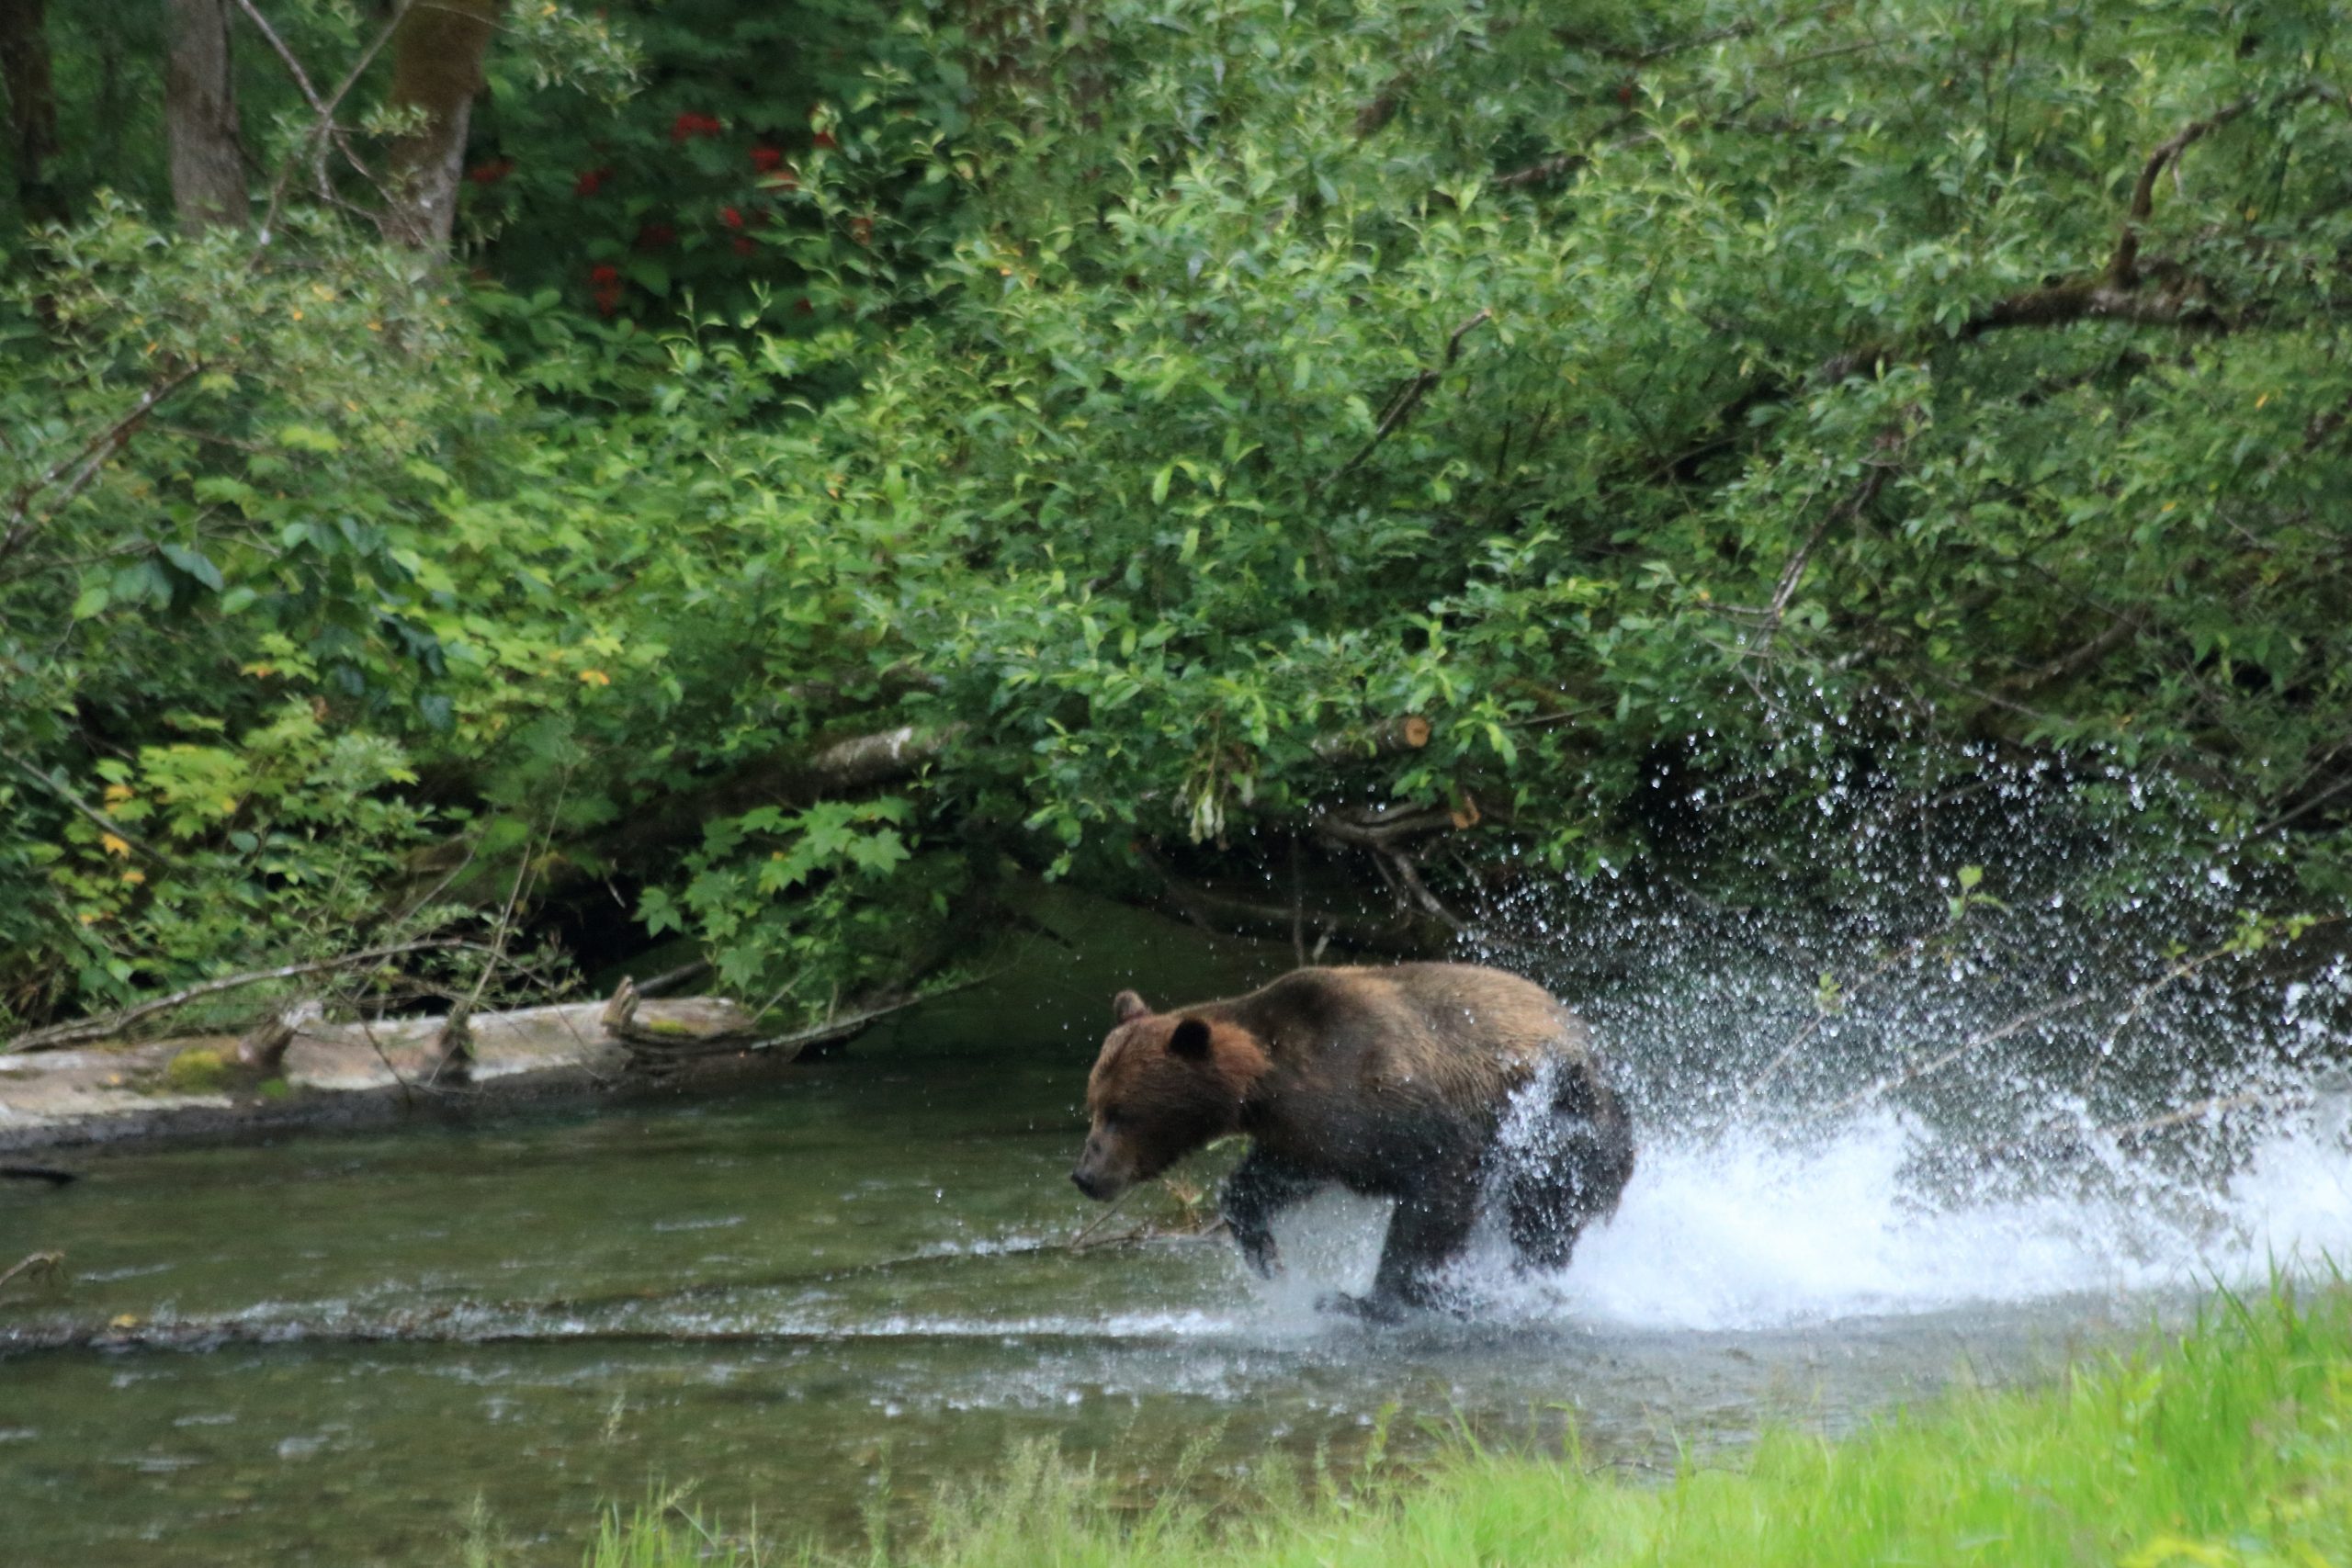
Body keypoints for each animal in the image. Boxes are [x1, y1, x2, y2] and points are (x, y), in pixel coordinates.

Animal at [1072, 964, 1636, 1316]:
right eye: (1093, 1106)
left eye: (1121, 1114)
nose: (1085, 1175)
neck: (1269, 1081)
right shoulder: (1311, 1134)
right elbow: (1264, 1182)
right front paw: (1269, 1260)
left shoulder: (1388, 1093)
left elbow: (1438, 1184)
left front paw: (1370, 1299)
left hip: (1561, 1120)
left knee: (1542, 1210)